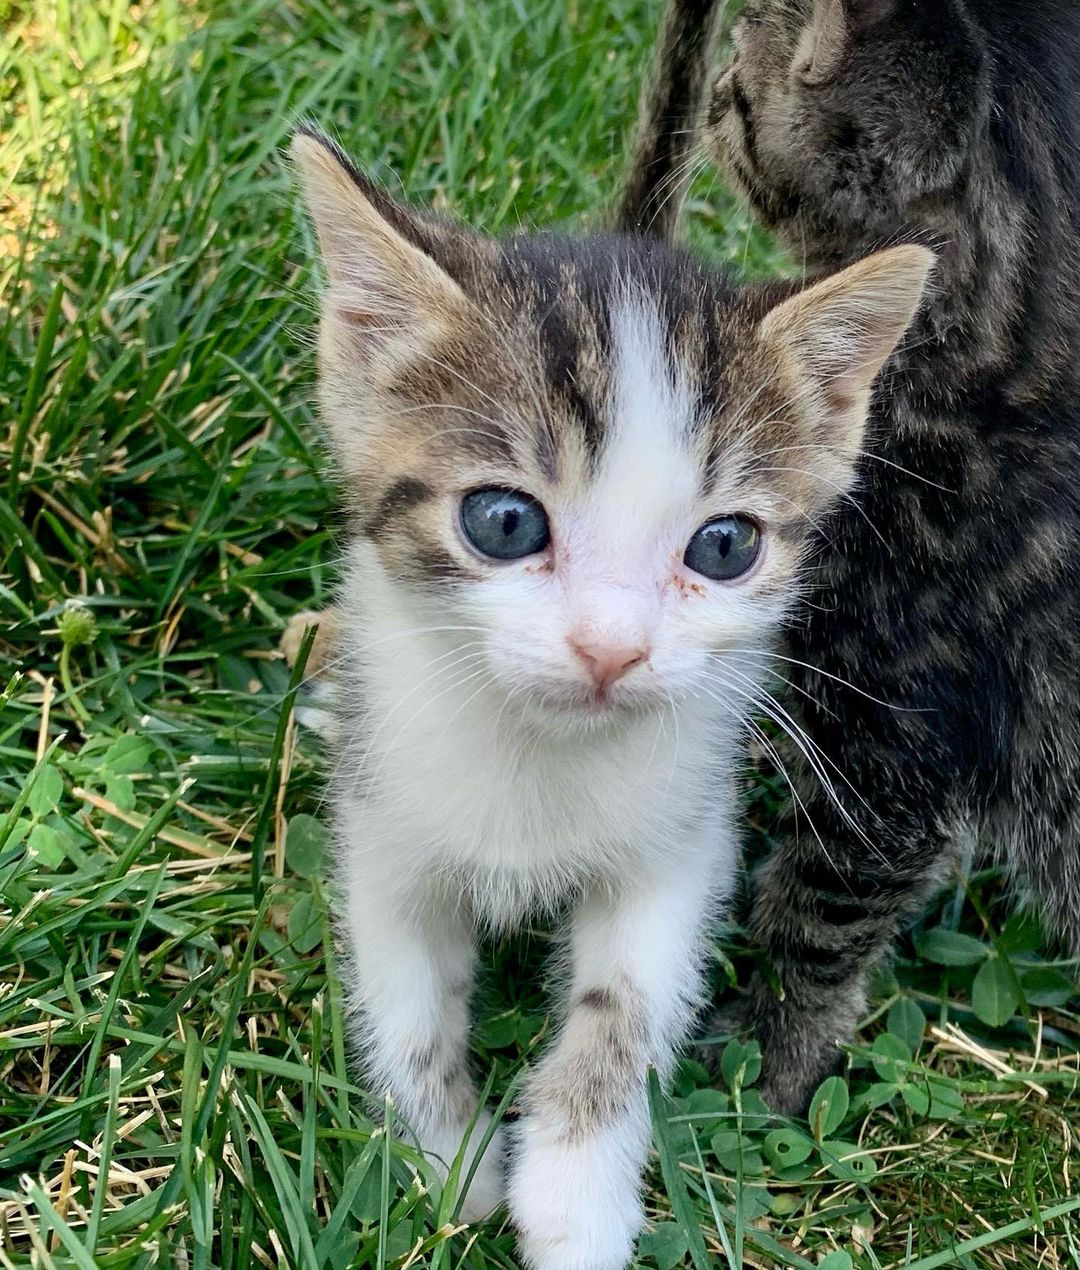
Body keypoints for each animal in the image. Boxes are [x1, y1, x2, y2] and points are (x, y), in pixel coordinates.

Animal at [290, 121, 930, 1270]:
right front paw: (452, 1160)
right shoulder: (385, 838)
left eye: (724, 547)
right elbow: (406, 1009)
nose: (611, 650)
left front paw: (575, 1194)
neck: (539, 757)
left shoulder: (683, 839)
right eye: (503, 523)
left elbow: (624, 1006)